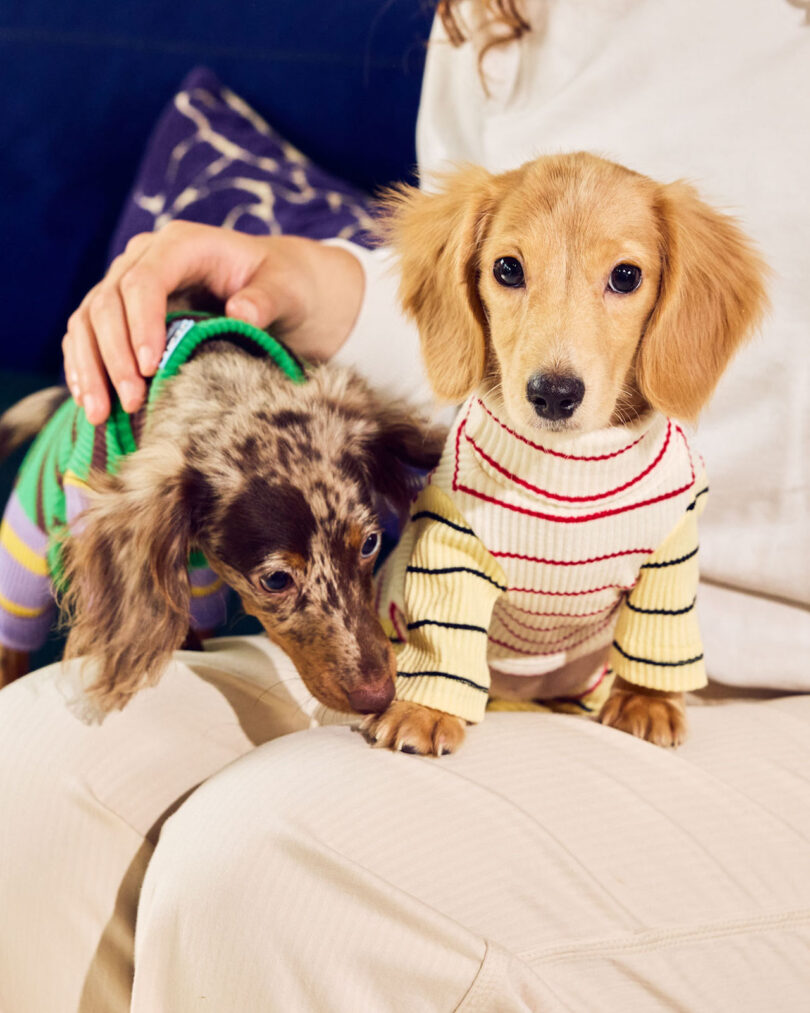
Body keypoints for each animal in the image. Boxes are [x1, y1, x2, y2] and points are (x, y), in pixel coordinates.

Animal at [364, 149, 769, 753]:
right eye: (508, 269)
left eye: (626, 276)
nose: (553, 394)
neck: (573, 467)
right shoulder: (453, 547)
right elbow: (444, 640)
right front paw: (425, 709)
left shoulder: (672, 555)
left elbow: (657, 640)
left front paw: (647, 700)